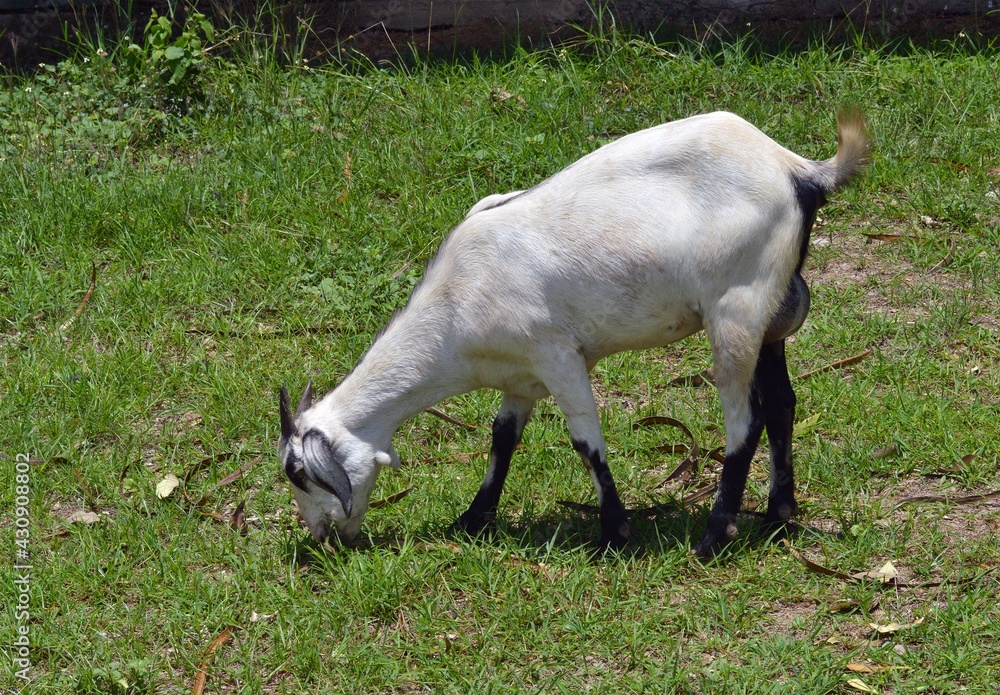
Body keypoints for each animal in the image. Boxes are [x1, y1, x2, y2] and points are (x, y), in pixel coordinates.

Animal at [279, 108, 869, 557]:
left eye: (299, 474)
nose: (322, 536)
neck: (454, 307)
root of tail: (799, 171)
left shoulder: (559, 356)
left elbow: (586, 442)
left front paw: (615, 531)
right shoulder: (519, 376)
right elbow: (503, 438)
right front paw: (472, 518)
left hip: (735, 310)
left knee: (746, 420)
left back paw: (713, 536)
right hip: (770, 313)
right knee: (783, 403)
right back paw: (779, 513)